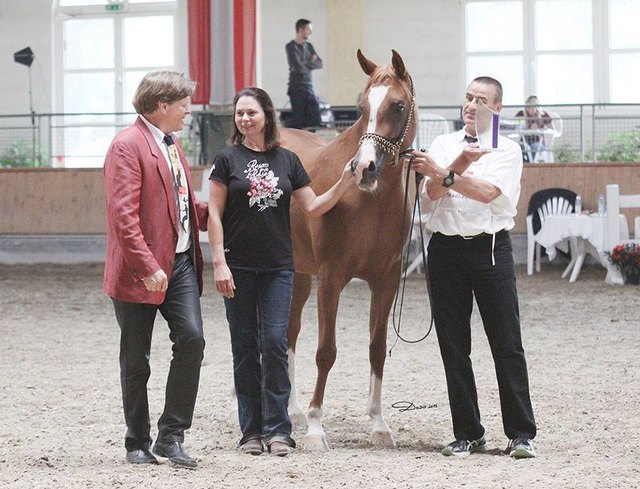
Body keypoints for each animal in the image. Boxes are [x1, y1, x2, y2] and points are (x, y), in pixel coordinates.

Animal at [279, 49, 417, 450]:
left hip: (298, 276)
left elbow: (377, 348)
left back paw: (291, 410)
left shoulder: (386, 280)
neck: (366, 201)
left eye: (398, 105)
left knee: (288, 333)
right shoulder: (331, 278)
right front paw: (316, 428)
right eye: (361, 106)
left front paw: (379, 424)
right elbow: (326, 351)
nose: (363, 168)